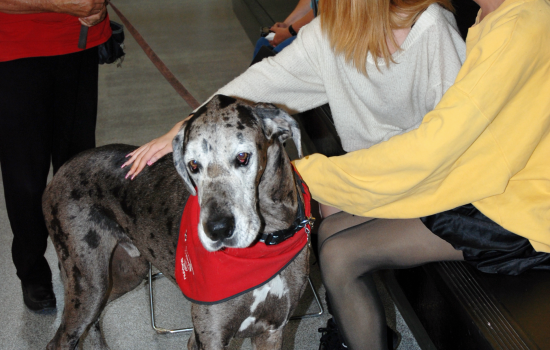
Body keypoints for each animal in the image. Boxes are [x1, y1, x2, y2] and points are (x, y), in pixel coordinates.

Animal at [45, 94, 312, 348]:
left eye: (243, 157)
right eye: (193, 165)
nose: (217, 230)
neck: (269, 242)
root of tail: (60, 171)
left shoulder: (271, 332)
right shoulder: (209, 337)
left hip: (128, 272)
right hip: (90, 282)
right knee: (60, 339)